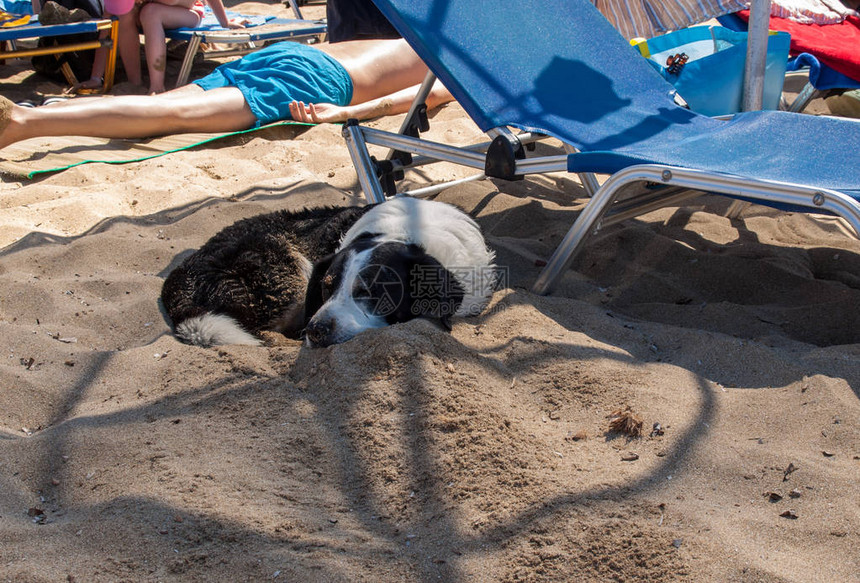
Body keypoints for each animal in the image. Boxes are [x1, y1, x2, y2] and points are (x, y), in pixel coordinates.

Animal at [161, 198, 498, 350]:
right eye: (326, 288)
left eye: (371, 293)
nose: (316, 331)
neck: (407, 235)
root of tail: (179, 276)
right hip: (287, 273)